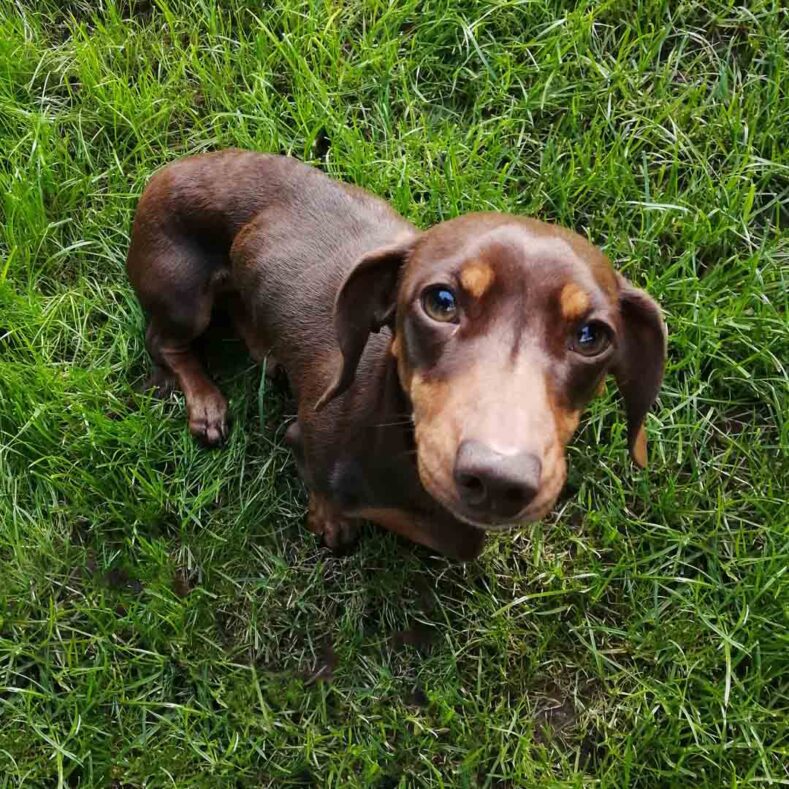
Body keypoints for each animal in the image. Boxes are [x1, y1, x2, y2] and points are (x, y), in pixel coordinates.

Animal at [127, 149, 664, 560]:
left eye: (591, 336)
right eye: (441, 302)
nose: (498, 479)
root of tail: (168, 169)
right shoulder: (306, 443)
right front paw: (332, 521)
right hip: (185, 297)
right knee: (163, 341)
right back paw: (206, 403)